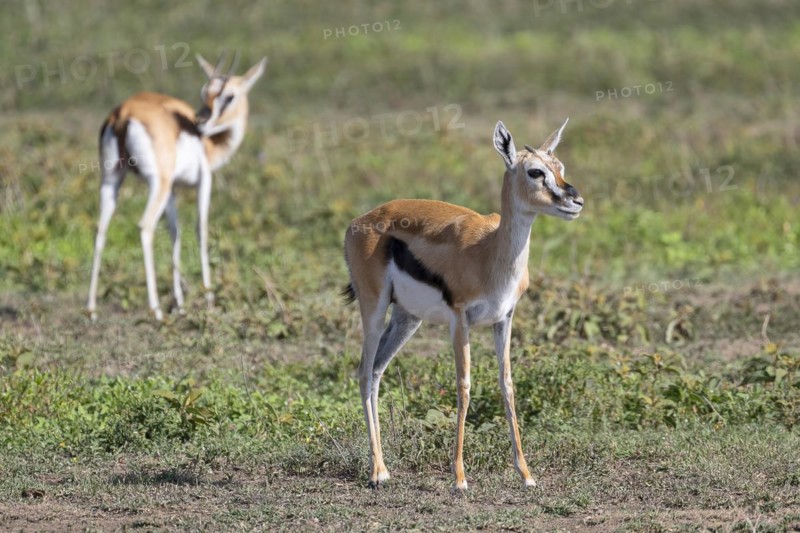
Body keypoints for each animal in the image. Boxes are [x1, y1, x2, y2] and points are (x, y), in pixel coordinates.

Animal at [87, 52, 267, 321]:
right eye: (206, 92)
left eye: (228, 96)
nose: (200, 121)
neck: (209, 144)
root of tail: (124, 113)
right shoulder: (204, 181)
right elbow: (201, 230)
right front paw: (209, 300)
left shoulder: (172, 190)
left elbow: (175, 232)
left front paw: (180, 304)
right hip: (157, 183)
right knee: (145, 226)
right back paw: (156, 310)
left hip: (111, 181)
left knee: (100, 229)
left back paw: (91, 310)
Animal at [343, 119, 583, 490]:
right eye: (535, 171)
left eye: (560, 168)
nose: (576, 201)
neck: (489, 253)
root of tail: (359, 222)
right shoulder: (461, 319)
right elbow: (464, 386)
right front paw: (459, 477)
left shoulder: (504, 319)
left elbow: (507, 384)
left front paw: (526, 474)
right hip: (373, 309)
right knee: (363, 371)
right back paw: (377, 472)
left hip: (406, 319)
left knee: (377, 371)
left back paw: (383, 468)